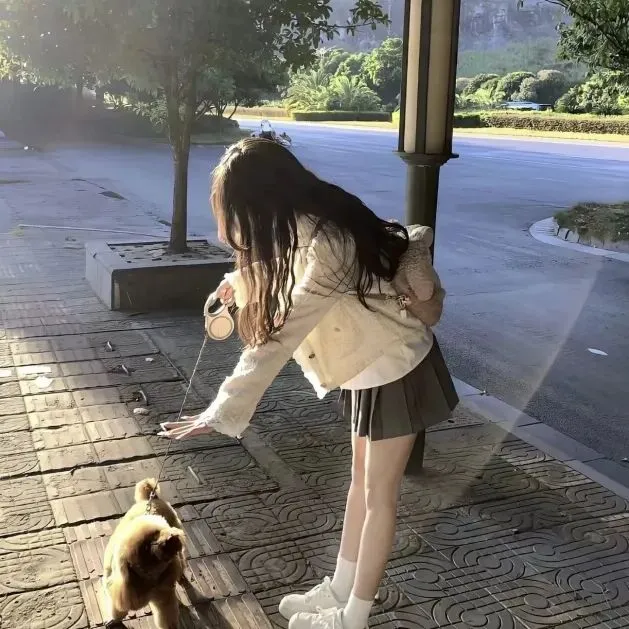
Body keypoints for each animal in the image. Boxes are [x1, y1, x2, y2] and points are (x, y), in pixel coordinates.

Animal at [103, 478, 186, 629]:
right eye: (146, 547)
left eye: (159, 531)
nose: (171, 538)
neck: (148, 576)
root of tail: (151, 498)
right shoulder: (119, 590)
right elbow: (118, 609)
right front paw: (114, 619)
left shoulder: (164, 595)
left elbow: (167, 618)